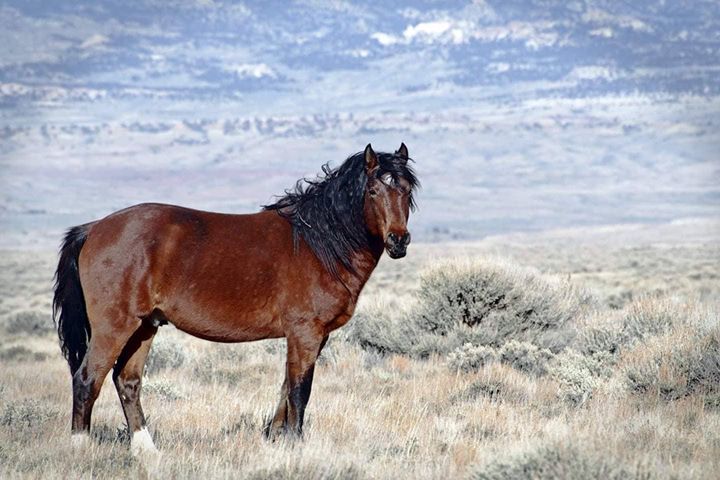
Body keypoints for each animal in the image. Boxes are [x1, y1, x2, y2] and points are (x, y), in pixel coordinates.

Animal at [53, 142, 420, 454]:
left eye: (407, 191)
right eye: (373, 191)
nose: (398, 241)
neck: (317, 243)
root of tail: (94, 228)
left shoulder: (312, 337)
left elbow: (286, 388)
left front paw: (275, 438)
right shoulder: (305, 333)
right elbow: (300, 391)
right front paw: (296, 446)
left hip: (145, 326)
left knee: (127, 381)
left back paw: (148, 452)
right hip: (114, 327)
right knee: (87, 380)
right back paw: (80, 449)